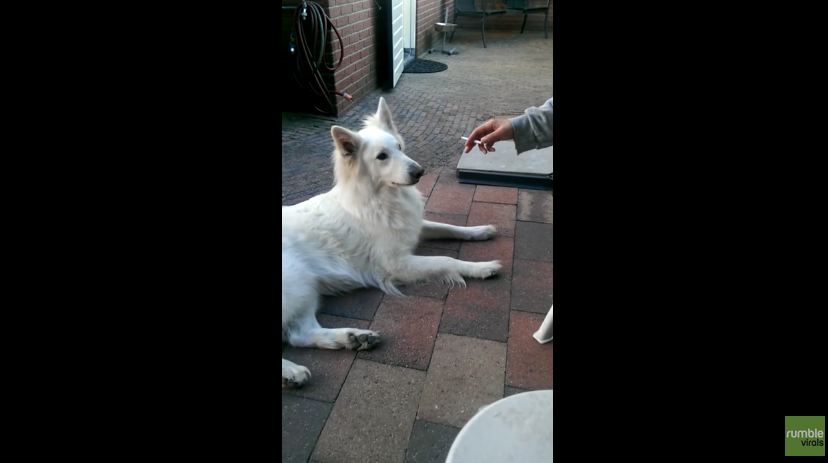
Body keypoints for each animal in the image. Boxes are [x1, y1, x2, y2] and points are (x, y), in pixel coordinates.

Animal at [282, 98, 502, 388]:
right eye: (381, 157)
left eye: (399, 147)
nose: (419, 171)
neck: (381, 198)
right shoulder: (396, 265)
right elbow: (447, 259)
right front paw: (481, 267)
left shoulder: (416, 228)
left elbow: (449, 227)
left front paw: (480, 231)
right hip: (296, 284)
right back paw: (292, 370)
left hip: (305, 289)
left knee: (301, 333)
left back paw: (354, 338)